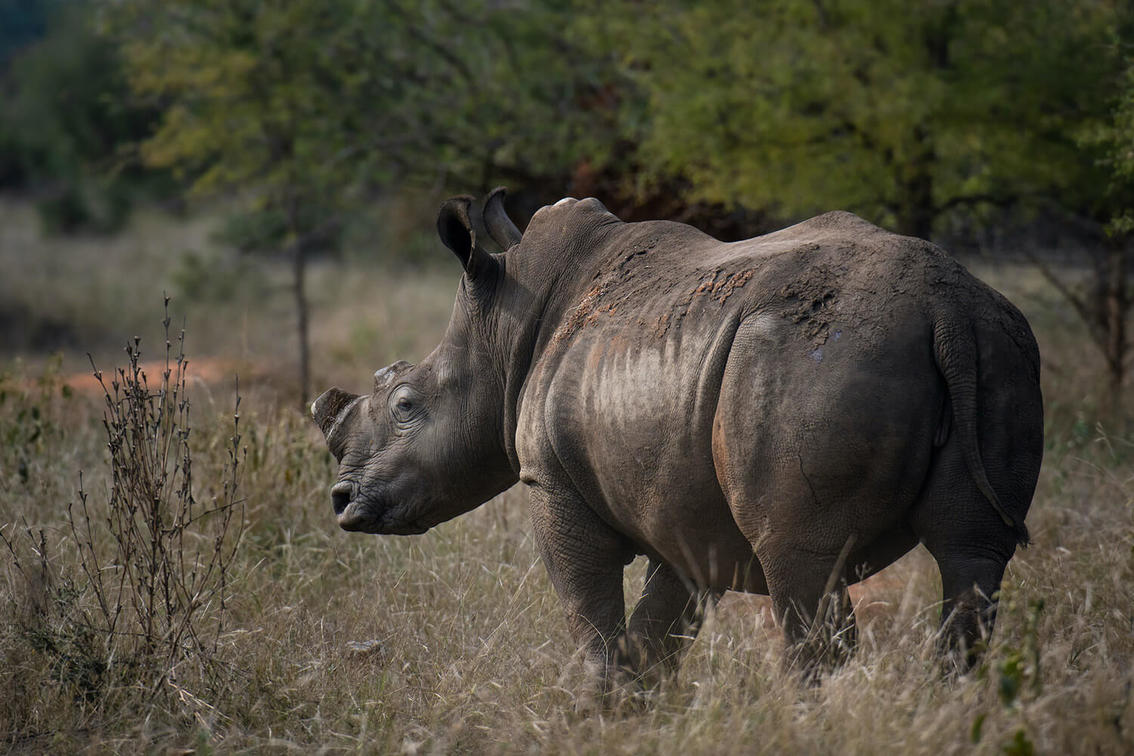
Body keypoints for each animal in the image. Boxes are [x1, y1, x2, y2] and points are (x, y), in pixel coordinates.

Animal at [312, 188, 1043, 690]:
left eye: (407, 405)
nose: (342, 502)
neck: (504, 329)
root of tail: (945, 306)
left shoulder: (553, 481)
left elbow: (591, 611)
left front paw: (600, 712)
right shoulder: (684, 507)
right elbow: (658, 628)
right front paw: (639, 708)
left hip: (819, 359)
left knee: (802, 562)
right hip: (999, 345)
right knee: (972, 556)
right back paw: (953, 703)